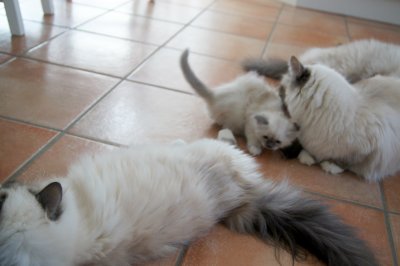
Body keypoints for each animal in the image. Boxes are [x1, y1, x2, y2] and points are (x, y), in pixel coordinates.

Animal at [242, 39, 400, 181]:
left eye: (282, 91)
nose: (278, 98)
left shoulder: (370, 149)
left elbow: (346, 161)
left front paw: (329, 165)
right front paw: (306, 156)